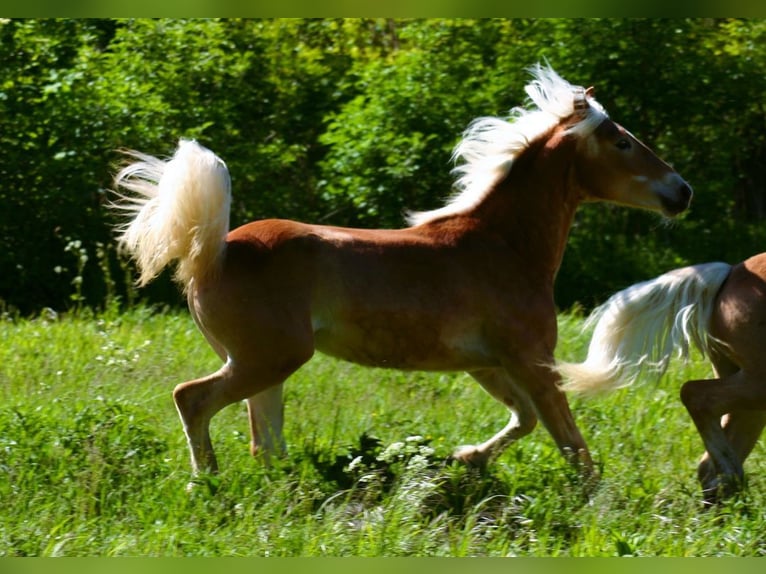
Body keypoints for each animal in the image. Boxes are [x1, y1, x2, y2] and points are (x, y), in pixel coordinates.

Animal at [111, 66, 692, 490]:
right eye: (623, 143)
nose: (682, 191)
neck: (503, 246)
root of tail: (214, 250)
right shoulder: (532, 359)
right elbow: (573, 445)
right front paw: (597, 503)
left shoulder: (487, 364)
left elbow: (525, 420)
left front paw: (466, 458)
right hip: (268, 359)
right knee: (192, 399)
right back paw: (206, 483)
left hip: (264, 366)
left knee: (264, 443)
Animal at [560, 254, 766, 506]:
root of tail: (730, 272)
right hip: (758, 383)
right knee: (695, 395)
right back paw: (731, 479)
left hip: (749, 392)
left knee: (710, 461)